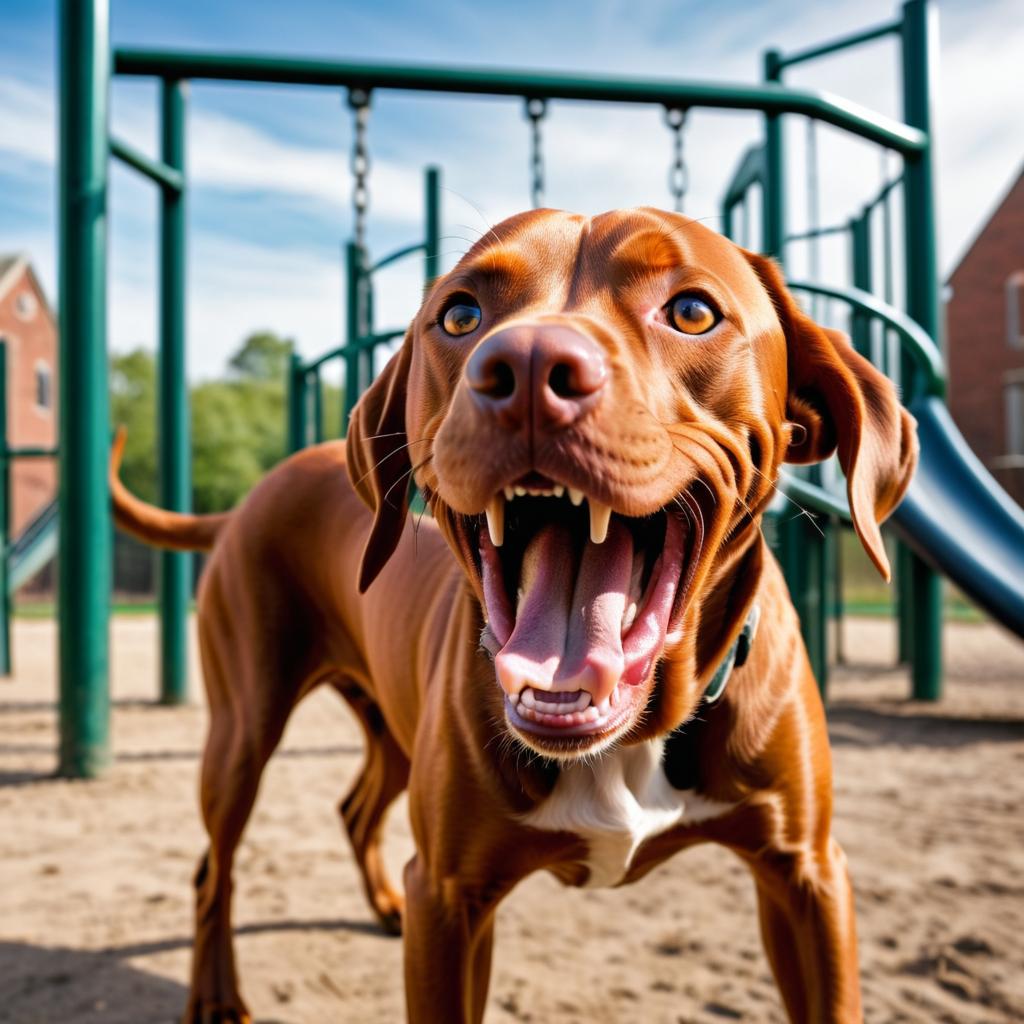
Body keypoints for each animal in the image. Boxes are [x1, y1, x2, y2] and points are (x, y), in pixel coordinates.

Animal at [114, 203, 921, 1019]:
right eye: (460, 314)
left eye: (692, 311)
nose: (529, 365)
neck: (631, 738)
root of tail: (246, 501)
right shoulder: (450, 901)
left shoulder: (808, 877)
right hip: (242, 730)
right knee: (212, 867)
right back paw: (217, 993)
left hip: (390, 730)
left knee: (353, 808)